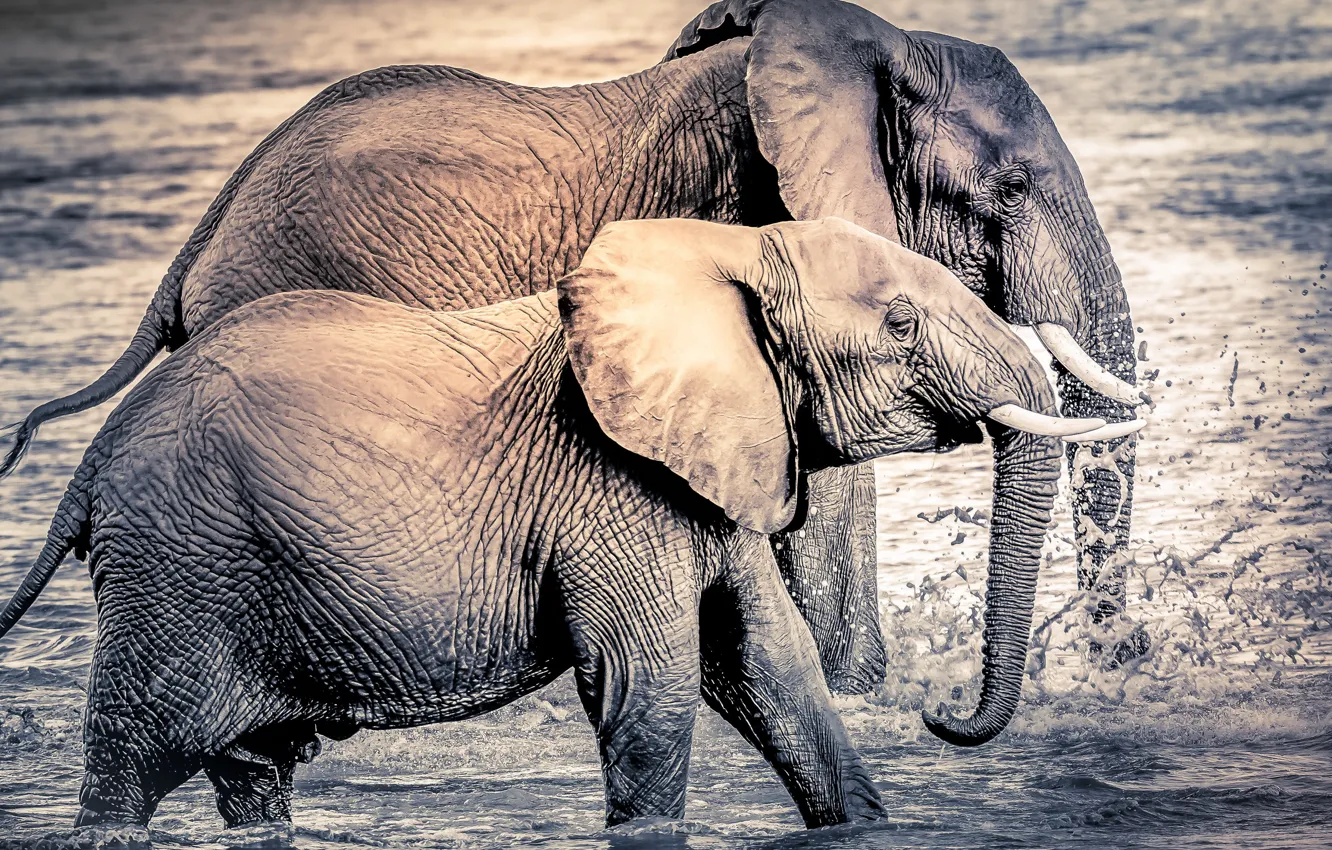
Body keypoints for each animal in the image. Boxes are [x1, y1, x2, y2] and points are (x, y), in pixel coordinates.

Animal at [0, 0, 1146, 690]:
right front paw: (864, 691)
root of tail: (204, 232)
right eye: (1007, 192)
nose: (1124, 652)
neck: (879, 42)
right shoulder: (750, 215)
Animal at [0, 218, 1129, 831]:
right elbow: (652, 686)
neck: (728, 252)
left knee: (252, 769)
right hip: (175, 568)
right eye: (899, 323)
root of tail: (89, 466)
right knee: (131, 760)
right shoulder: (608, 483)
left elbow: (771, 667)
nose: (940, 713)